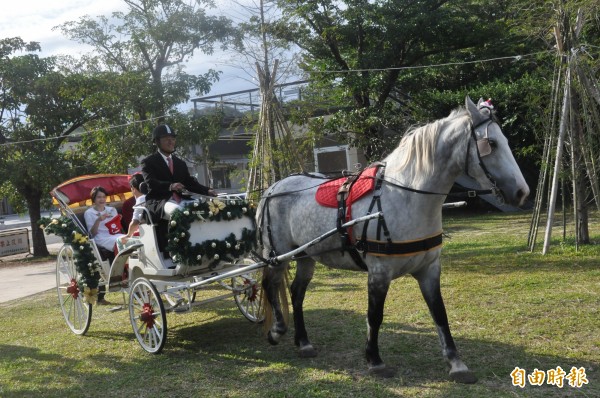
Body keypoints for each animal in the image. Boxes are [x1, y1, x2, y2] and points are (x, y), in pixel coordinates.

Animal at [255, 96, 528, 382]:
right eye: (492, 143)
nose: (522, 192)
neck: (406, 196)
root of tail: (272, 189)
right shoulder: (379, 272)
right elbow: (374, 316)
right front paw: (375, 360)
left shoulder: (429, 269)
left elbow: (440, 314)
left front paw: (456, 363)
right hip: (277, 255)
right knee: (270, 285)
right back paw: (277, 330)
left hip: (306, 256)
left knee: (296, 293)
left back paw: (303, 342)